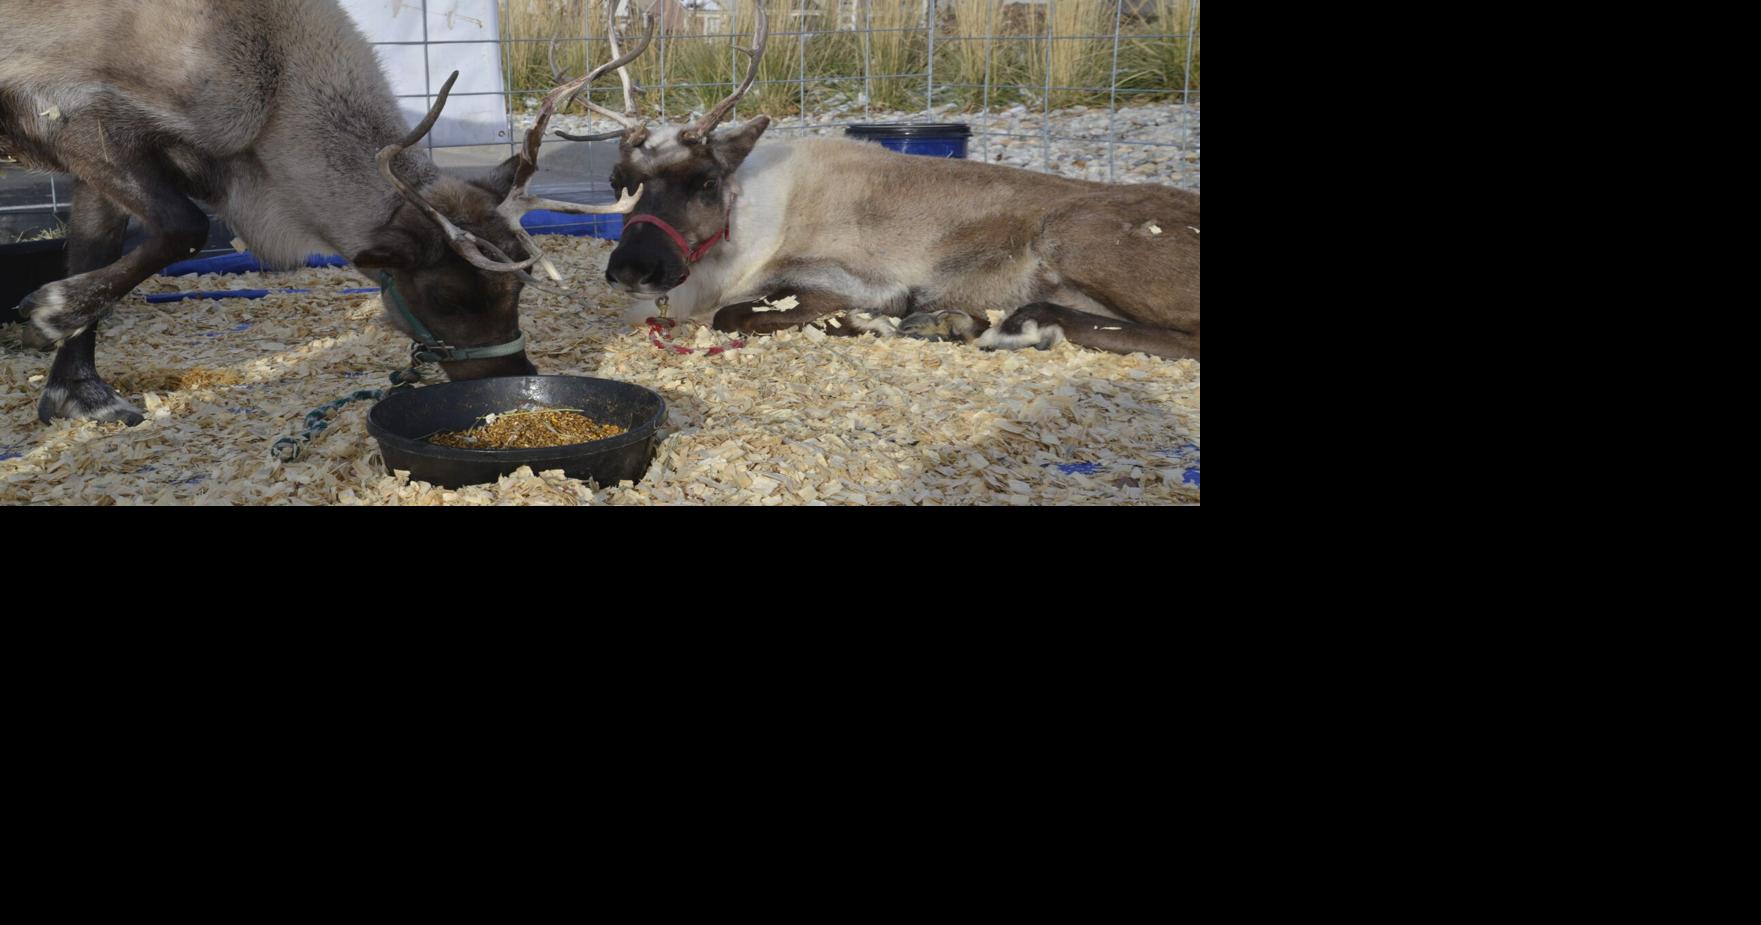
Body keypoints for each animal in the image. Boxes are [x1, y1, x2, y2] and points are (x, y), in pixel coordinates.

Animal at [0, 0, 651, 426]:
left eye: (520, 287)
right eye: (445, 297)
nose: (510, 374)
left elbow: (95, 246)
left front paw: (78, 390)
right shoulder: (76, 116)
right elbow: (185, 227)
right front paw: (50, 312)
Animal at [585, 8, 1200, 362]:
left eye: (707, 181)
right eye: (617, 181)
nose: (633, 269)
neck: (745, 226)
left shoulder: (850, 280)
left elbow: (732, 315)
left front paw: (873, 323)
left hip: (1068, 234)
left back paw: (1016, 327)